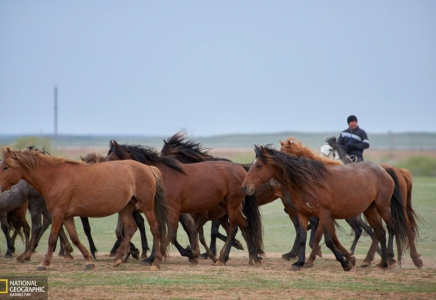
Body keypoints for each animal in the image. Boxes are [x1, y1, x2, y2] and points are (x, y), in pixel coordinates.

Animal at [0, 146, 169, 270]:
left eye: (5, 167)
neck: (55, 177)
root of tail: (148, 168)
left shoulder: (58, 214)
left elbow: (52, 238)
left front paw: (44, 263)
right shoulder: (66, 216)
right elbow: (74, 238)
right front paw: (88, 260)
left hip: (146, 206)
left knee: (155, 229)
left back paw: (155, 262)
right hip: (126, 208)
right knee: (130, 229)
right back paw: (118, 258)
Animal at [105, 139, 264, 266]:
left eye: (112, 159)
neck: (159, 175)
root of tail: (242, 170)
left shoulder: (173, 210)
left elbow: (171, 234)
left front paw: (186, 254)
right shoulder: (160, 211)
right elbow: (160, 231)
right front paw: (152, 258)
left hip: (232, 205)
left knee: (233, 229)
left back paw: (221, 258)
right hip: (228, 207)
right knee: (245, 226)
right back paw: (254, 258)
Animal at [160, 131, 320, 260]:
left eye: (164, 156)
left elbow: (216, 231)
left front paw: (221, 251)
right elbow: (226, 230)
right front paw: (239, 248)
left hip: (290, 205)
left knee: (302, 226)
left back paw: (294, 253)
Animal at [242, 145, 408, 272]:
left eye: (258, 165)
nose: (244, 187)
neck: (308, 183)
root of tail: (383, 169)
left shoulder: (324, 214)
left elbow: (327, 240)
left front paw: (345, 262)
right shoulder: (302, 214)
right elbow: (302, 237)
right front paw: (299, 262)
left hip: (382, 207)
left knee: (391, 228)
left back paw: (389, 261)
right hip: (370, 210)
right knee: (380, 232)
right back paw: (380, 262)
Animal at [320, 136, 422, 268]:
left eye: (329, 150)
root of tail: (398, 170)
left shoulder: (355, 214)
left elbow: (366, 230)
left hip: (396, 207)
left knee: (405, 226)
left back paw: (413, 259)